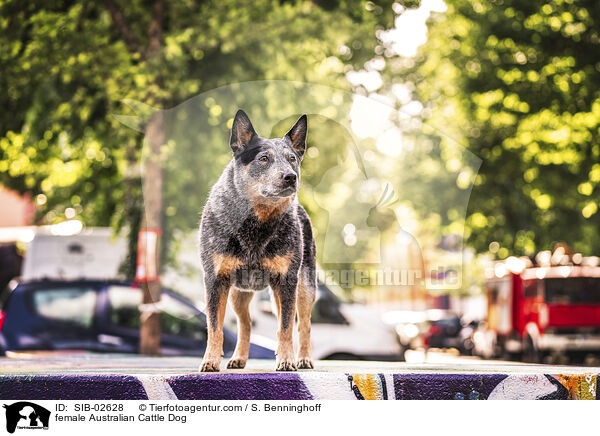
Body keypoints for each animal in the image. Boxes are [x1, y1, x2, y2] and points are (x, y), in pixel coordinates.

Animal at [198, 109, 318, 372]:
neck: (257, 221)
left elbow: (286, 326)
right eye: (264, 158)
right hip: (239, 293)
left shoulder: (287, 280)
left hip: (303, 286)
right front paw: (210, 360)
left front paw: (286, 359)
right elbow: (215, 326)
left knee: (302, 323)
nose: (290, 177)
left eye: (292, 158)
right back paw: (239, 357)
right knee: (246, 323)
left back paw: (303, 358)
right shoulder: (215, 279)